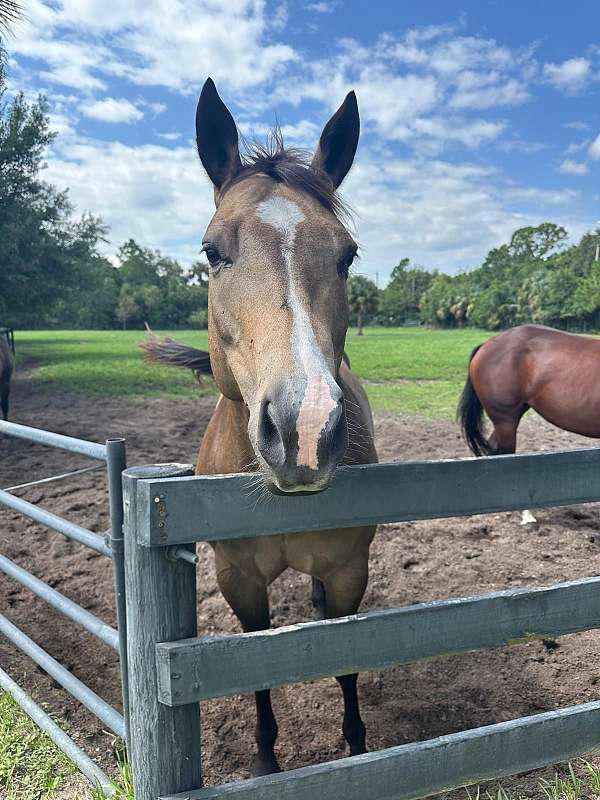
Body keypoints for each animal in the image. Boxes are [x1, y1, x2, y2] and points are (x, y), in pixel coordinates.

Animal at [142, 76, 376, 776]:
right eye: (212, 251)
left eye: (347, 256)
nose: (305, 428)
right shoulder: (238, 583)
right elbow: (255, 666)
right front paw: (267, 760)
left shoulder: (349, 570)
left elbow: (347, 660)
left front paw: (356, 744)